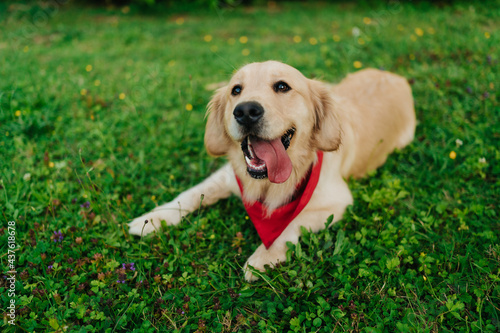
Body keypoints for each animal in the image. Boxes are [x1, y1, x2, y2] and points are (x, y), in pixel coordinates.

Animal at [128, 60, 414, 280]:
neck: (266, 182)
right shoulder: (228, 176)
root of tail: (394, 76)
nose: (245, 111)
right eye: (236, 90)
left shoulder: (337, 202)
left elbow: (290, 223)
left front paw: (263, 256)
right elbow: (189, 194)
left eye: (282, 86)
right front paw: (152, 219)